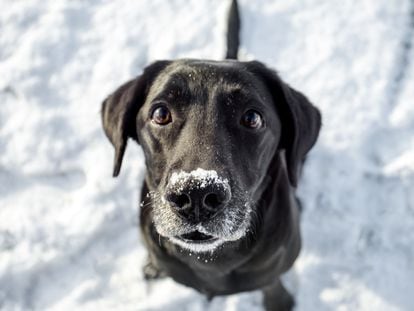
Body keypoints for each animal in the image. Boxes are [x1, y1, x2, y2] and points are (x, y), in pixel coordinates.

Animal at [100, 1, 320, 310]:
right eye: (160, 113)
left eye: (252, 118)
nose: (196, 195)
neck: (212, 260)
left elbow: (272, 283)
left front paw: (280, 300)